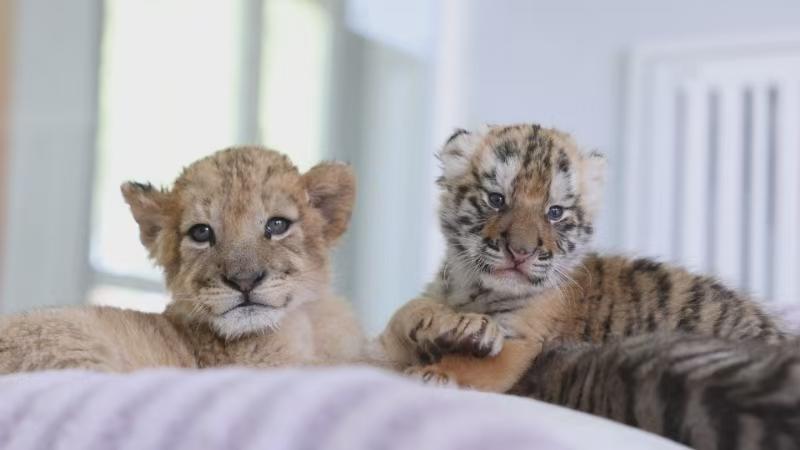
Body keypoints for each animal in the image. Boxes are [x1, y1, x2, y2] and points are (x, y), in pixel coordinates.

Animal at [374, 123, 788, 391]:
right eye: (496, 199)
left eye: (554, 213)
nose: (520, 252)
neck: (469, 286)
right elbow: (402, 314)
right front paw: (445, 324)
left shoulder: (522, 341)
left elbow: (474, 363)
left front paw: (432, 373)